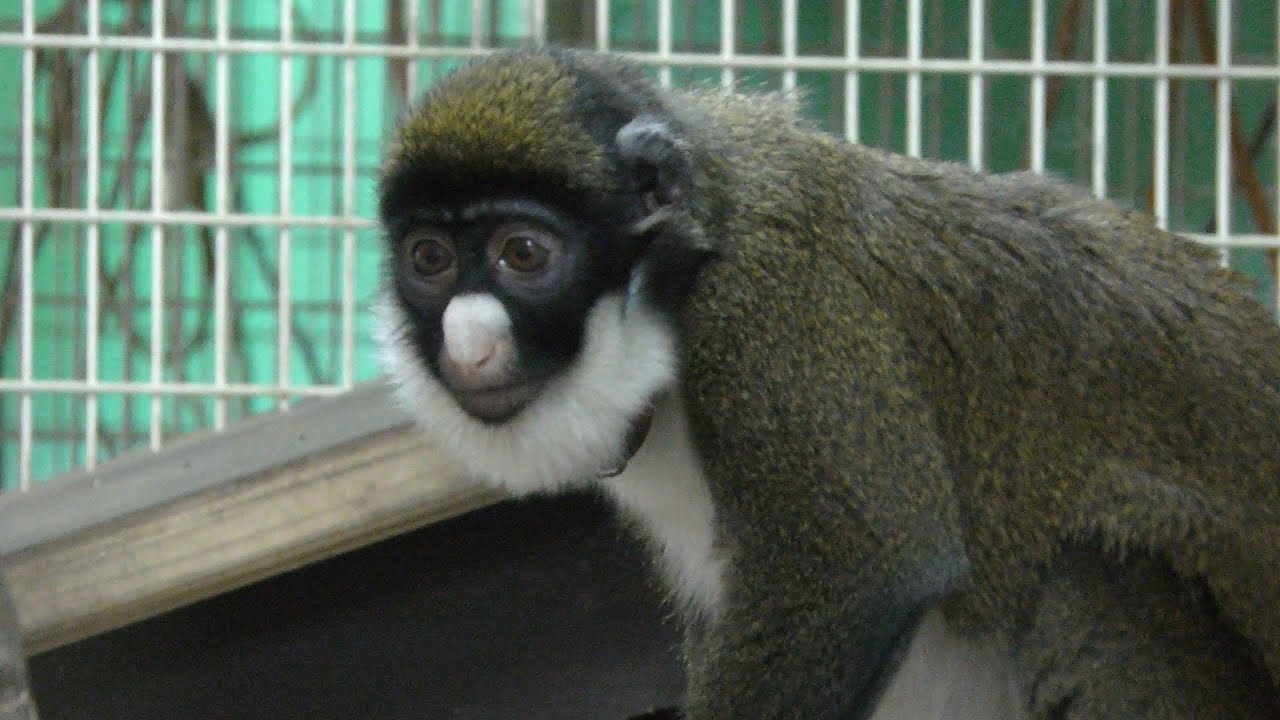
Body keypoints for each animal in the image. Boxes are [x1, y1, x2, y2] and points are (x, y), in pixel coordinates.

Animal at [373, 48, 1280, 719]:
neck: (681, 269)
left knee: (1093, 577)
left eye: (523, 254)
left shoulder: (774, 309)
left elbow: (868, 567)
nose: (466, 344)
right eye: (430, 259)